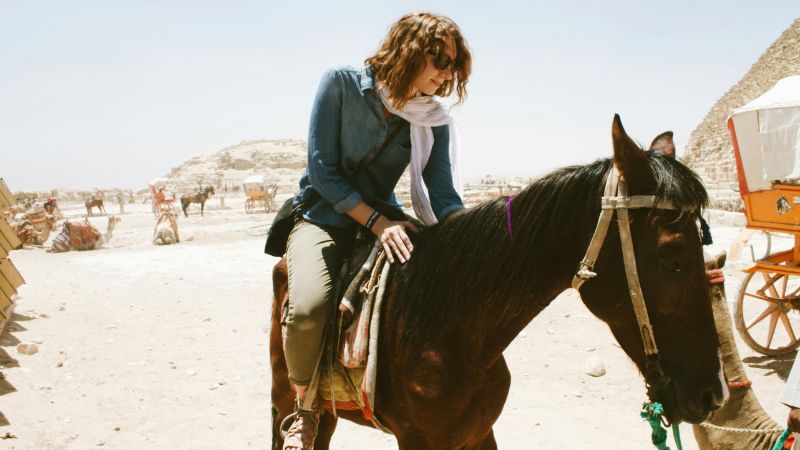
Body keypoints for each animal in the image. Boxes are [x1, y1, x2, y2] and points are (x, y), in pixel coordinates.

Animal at [270, 117, 732, 450]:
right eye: (672, 257)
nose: (713, 395)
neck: (450, 333)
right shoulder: (418, 441)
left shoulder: (478, 433)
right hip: (290, 401)